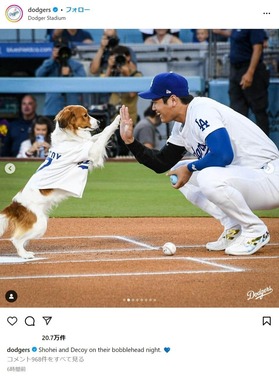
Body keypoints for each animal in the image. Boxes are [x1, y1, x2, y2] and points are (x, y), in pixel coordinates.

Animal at [0, 104, 120, 258]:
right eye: (85, 115)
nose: (99, 122)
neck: (68, 138)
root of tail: (15, 205)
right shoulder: (92, 152)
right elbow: (104, 133)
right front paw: (117, 119)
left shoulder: (88, 145)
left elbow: (96, 137)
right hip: (40, 224)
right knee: (16, 239)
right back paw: (25, 255)